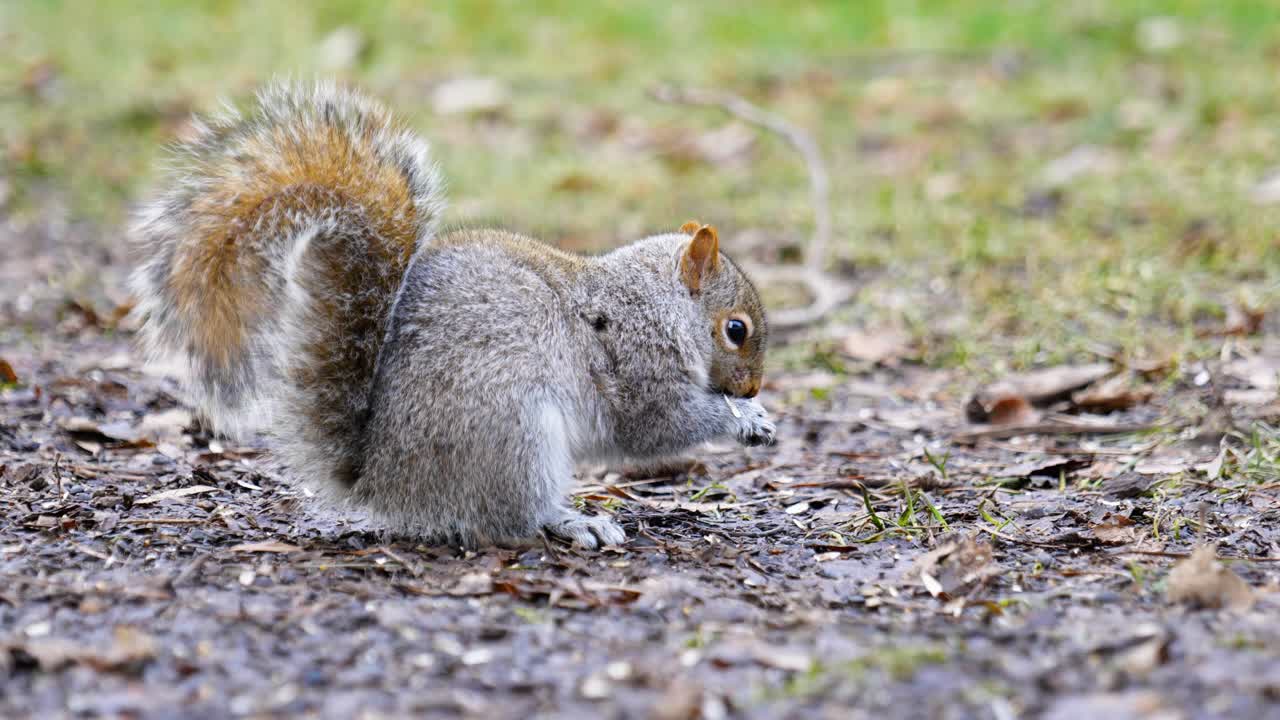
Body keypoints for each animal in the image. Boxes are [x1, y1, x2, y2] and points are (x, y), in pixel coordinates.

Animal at [130, 81, 773, 549]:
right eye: (735, 330)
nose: (752, 387)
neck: (653, 302)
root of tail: (384, 481)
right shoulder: (639, 362)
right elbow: (657, 424)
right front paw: (741, 420)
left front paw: (755, 411)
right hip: (515, 430)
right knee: (508, 518)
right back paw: (571, 521)